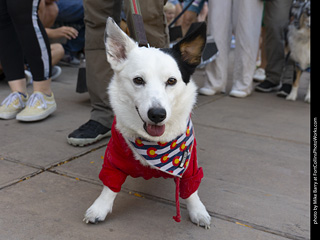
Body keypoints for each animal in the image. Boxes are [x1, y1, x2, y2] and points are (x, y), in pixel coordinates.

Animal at [84, 17, 211, 229]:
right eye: (138, 80)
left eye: (171, 81)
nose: (157, 114)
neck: (153, 145)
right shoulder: (114, 158)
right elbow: (109, 185)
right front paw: (100, 207)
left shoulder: (189, 164)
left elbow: (191, 188)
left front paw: (198, 210)